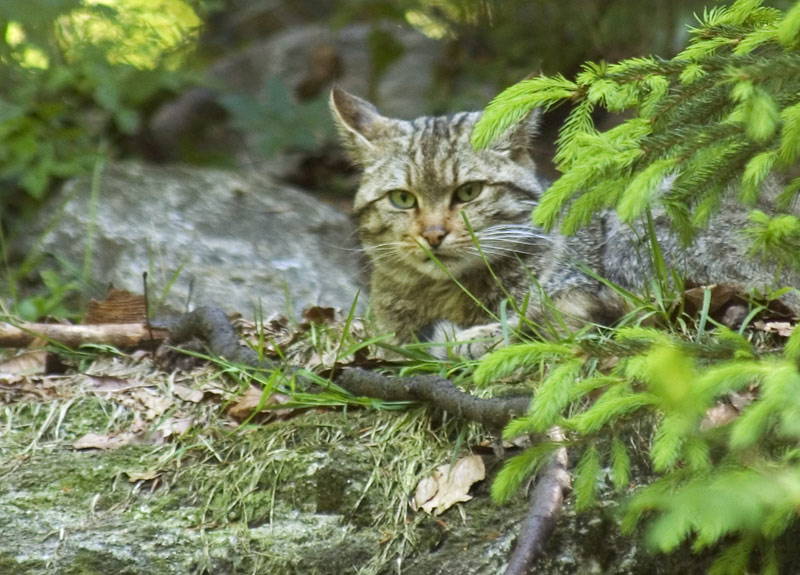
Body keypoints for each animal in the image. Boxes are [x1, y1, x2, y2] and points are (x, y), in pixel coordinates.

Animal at [328, 88, 796, 358]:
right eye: (403, 199)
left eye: (468, 192)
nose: (433, 234)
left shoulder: (574, 289)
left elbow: (528, 321)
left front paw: (470, 337)